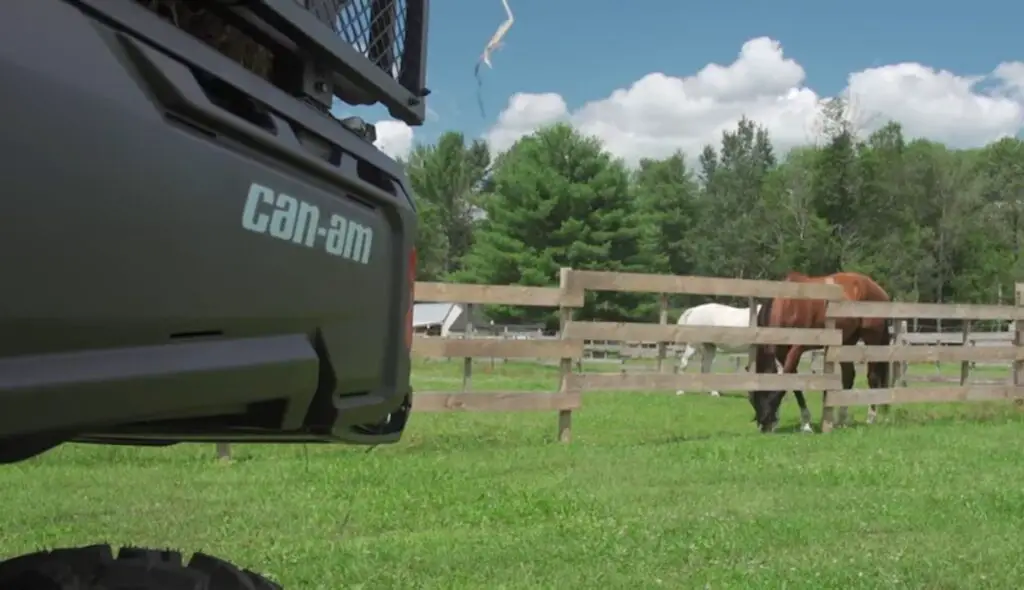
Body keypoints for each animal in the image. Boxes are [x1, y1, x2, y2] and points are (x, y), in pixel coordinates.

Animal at [749, 272, 892, 434]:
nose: (764, 425)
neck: (789, 304)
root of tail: (879, 290)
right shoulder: (782, 353)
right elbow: (793, 383)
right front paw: (805, 422)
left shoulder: (796, 349)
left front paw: (804, 424)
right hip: (847, 341)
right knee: (849, 376)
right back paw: (841, 420)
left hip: (872, 339)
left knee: (873, 377)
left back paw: (871, 417)